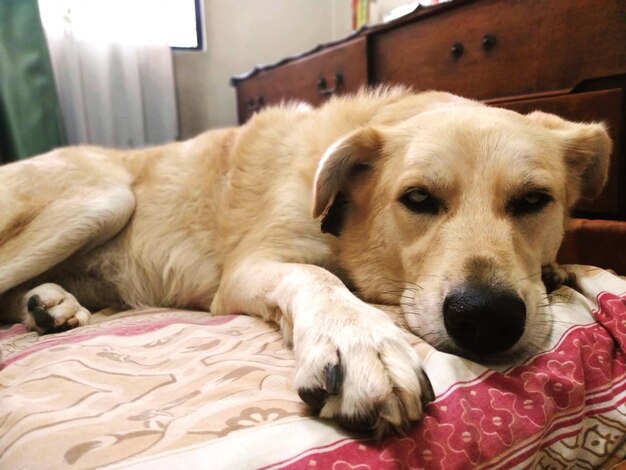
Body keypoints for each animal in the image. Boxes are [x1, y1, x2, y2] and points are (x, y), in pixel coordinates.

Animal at [0, 89, 608, 436]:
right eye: (417, 199)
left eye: (533, 201)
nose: (486, 317)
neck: (341, 218)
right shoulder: (249, 268)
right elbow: (316, 276)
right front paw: (361, 342)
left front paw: (560, 272)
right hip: (102, 197)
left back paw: (52, 304)